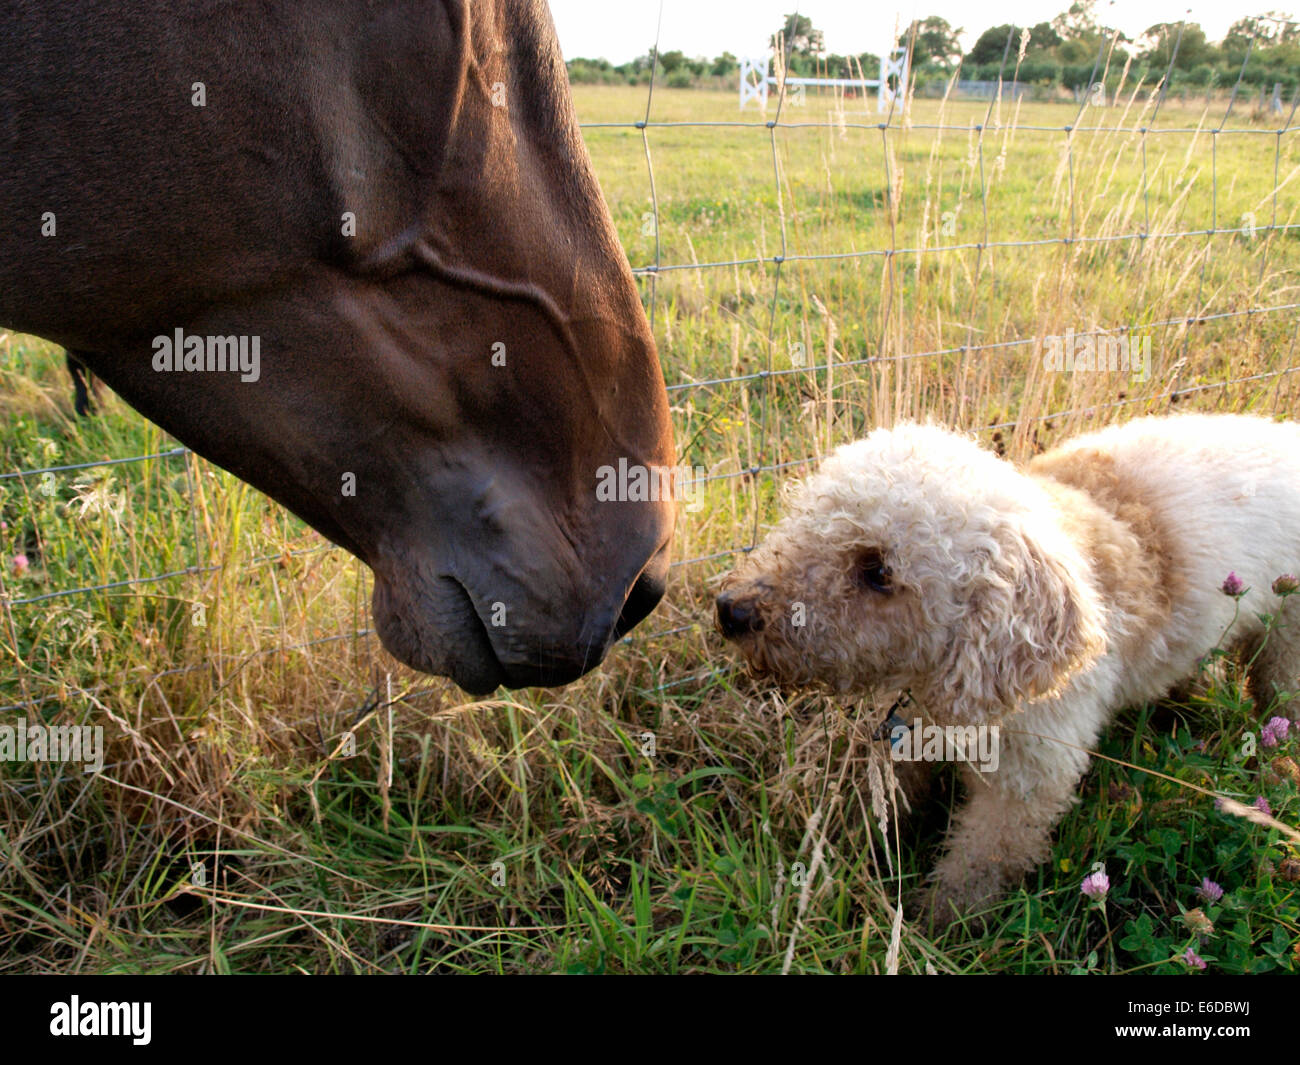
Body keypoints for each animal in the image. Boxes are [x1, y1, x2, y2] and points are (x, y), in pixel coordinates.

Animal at [717, 413, 1300, 925]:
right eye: (807, 519)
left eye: (878, 571)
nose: (730, 611)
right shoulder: (913, 737)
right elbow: (880, 805)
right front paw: (840, 850)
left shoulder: (1027, 783)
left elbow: (979, 863)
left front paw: (939, 925)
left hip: (1286, 646)